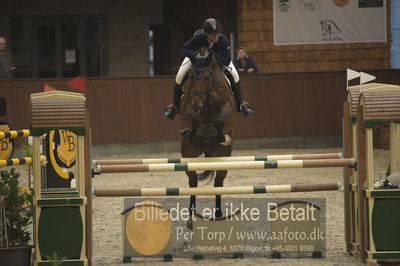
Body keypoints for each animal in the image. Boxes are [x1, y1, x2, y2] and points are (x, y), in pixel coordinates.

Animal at [178, 49, 238, 218]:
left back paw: (218, 213)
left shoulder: (228, 107)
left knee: (218, 183)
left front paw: (222, 136)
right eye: (191, 76)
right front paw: (190, 130)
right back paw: (191, 212)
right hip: (189, 155)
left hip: (222, 157)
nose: (197, 105)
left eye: (207, 77)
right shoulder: (187, 107)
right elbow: (193, 118)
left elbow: (220, 120)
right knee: (193, 182)